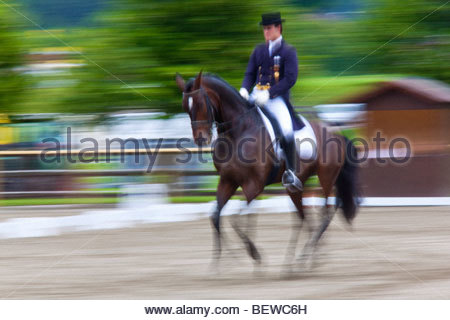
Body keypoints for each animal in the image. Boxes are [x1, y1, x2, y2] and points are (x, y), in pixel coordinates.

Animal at [175, 70, 358, 272]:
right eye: (185, 107)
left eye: (200, 103)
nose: (201, 139)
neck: (238, 131)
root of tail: (335, 132)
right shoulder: (228, 181)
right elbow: (215, 216)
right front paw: (223, 261)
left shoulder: (254, 185)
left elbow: (237, 219)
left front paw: (255, 256)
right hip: (296, 185)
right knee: (302, 216)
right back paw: (300, 261)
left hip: (326, 177)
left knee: (327, 211)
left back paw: (309, 256)